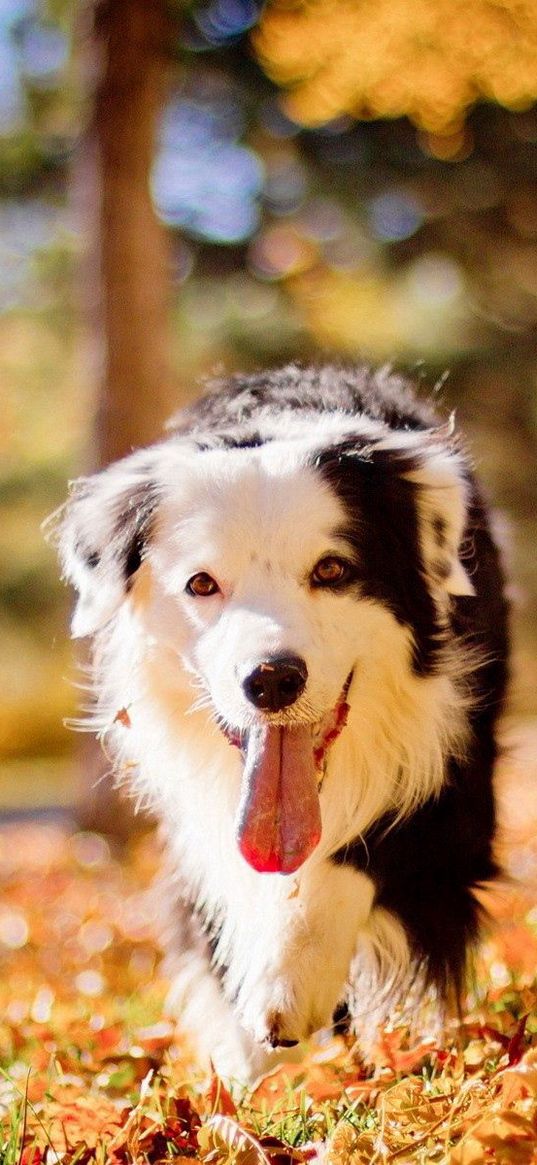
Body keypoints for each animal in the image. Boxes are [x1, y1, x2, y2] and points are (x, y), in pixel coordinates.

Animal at [53, 365, 505, 1081]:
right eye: (202, 584)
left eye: (332, 569)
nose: (271, 680)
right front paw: (247, 1069)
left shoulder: (456, 785)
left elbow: (364, 848)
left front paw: (287, 985)